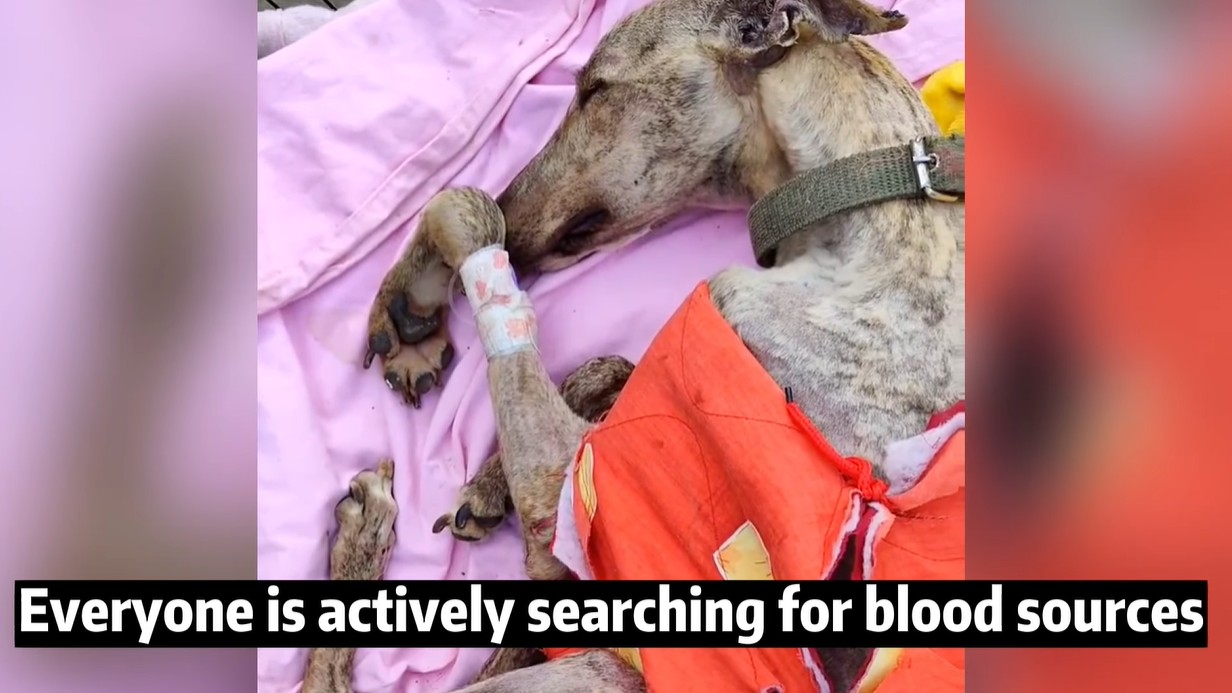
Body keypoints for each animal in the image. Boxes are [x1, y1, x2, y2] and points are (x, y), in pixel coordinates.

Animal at [303, 0, 964, 690]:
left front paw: (418, 290)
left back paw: (364, 529)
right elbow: (616, 363)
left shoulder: (576, 504)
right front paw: (486, 474)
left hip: (609, 673)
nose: (515, 211)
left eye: (596, 90)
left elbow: (461, 201)